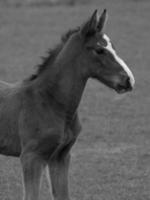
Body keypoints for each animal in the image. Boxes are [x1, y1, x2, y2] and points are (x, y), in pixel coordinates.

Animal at [0, 9, 135, 200]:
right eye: (99, 50)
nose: (129, 80)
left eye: (113, 48)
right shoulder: (31, 157)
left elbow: (63, 195)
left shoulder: (60, 156)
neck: (51, 102)